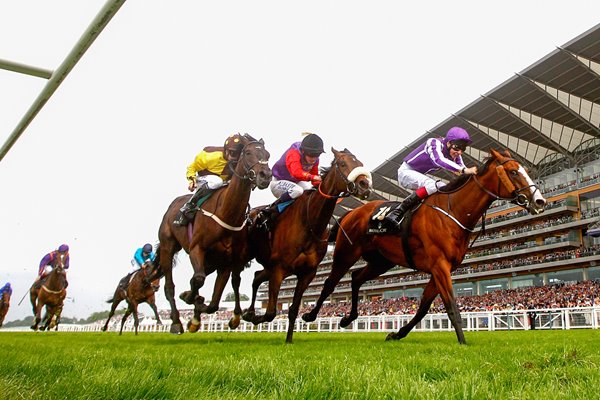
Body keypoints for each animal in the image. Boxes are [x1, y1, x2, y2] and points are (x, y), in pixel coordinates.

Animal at [158, 134, 274, 334]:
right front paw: (191, 300)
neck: (227, 213)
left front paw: (197, 308)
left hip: (211, 262)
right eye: (248, 152)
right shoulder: (197, 249)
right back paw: (176, 322)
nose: (265, 176)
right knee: (169, 286)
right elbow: (198, 280)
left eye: (267, 154)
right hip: (168, 247)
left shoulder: (226, 262)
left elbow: (213, 302)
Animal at [241, 148, 372, 342]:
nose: (365, 185)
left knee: (257, 277)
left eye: (360, 163)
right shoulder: (279, 268)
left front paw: (288, 340)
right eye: (342, 164)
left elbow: (293, 309)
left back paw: (248, 312)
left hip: (270, 265)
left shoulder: (307, 273)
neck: (309, 222)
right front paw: (255, 318)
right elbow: (270, 313)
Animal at [302, 149, 548, 344]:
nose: (540, 201)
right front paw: (463, 342)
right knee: (330, 283)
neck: (453, 210)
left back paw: (347, 318)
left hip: (381, 261)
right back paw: (309, 316)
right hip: (347, 252)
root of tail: (349, 213)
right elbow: (451, 306)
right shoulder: (440, 266)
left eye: (524, 170)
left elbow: (422, 308)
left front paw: (397, 334)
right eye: (513, 172)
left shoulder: (441, 269)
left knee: (355, 278)